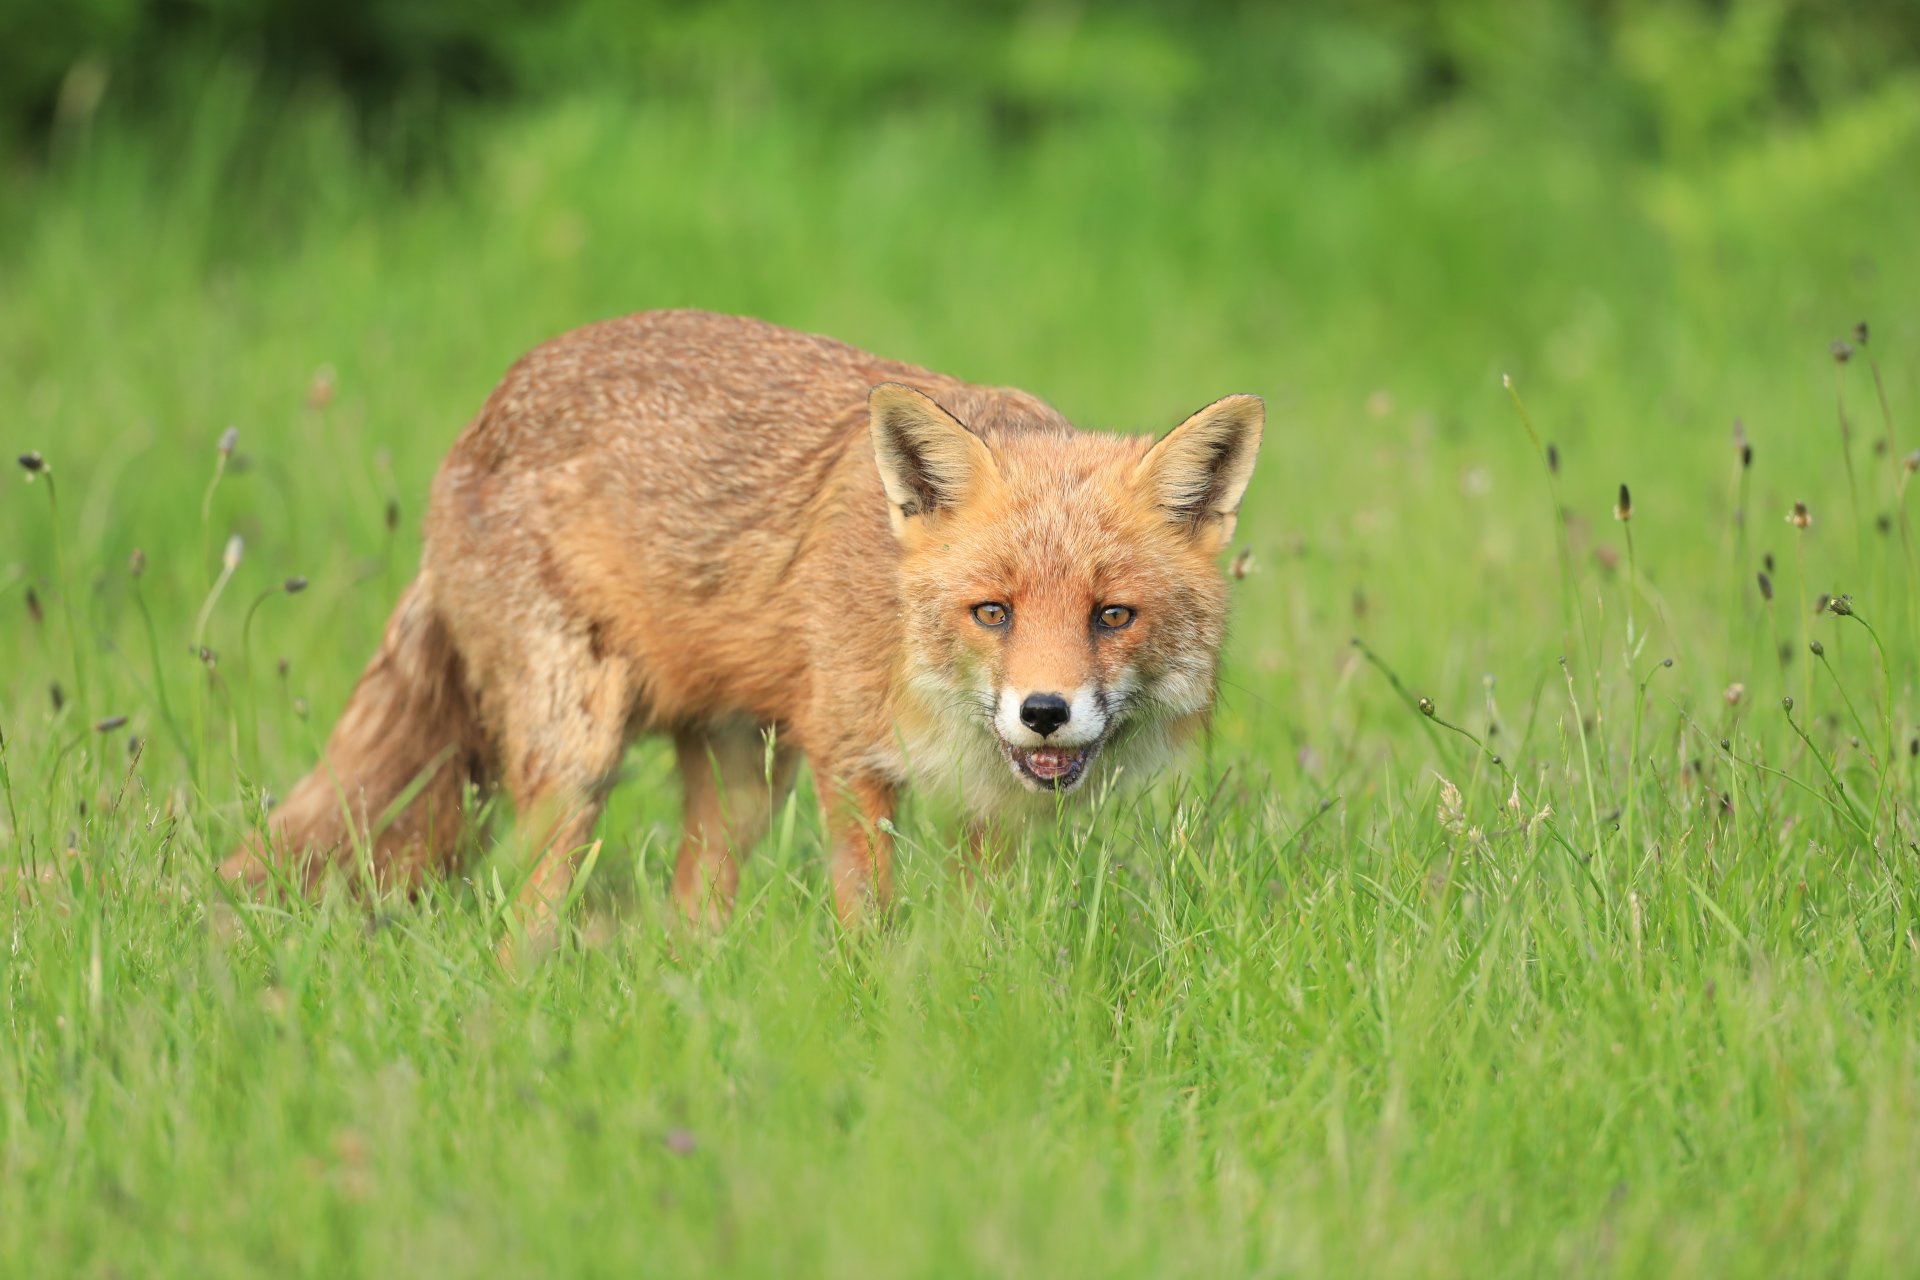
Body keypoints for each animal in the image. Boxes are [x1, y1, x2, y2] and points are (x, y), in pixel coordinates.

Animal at [221, 309, 1263, 937]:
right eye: (993, 612)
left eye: (1112, 615)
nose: (1044, 712)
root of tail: (482, 418)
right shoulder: (849, 758)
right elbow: (867, 915)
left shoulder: (988, 808)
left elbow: (975, 932)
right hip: (580, 755)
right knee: (526, 912)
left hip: (743, 782)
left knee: (688, 916)